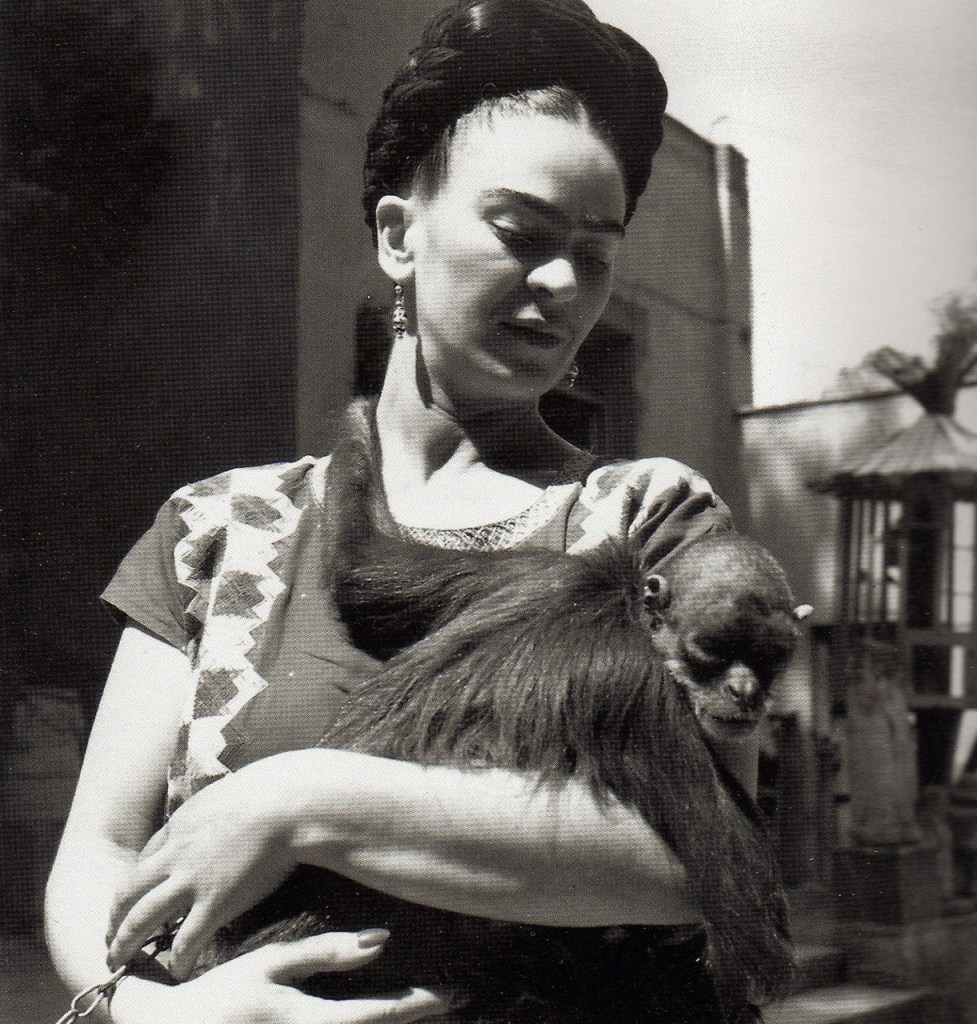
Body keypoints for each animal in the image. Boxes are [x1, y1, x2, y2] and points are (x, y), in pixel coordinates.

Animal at [193, 403, 803, 1024]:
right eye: (711, 651)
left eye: (772, 657)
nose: (745, 691)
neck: (621, 603)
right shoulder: (642, 689)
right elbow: (747, 925)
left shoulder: (534, 573)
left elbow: (363, 565)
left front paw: (360, 424)